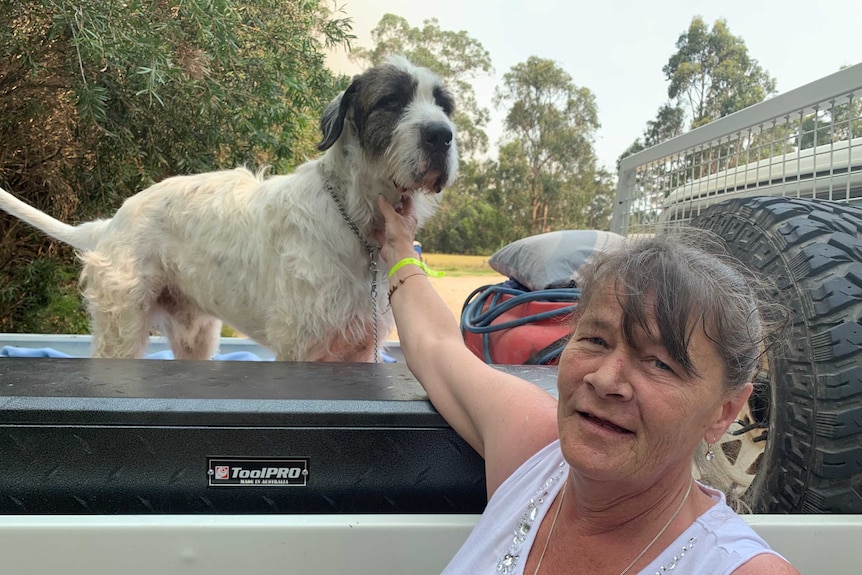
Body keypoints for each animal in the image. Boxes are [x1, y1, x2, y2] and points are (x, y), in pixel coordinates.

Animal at [0, 54, 460, 360]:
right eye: (391, 101)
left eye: (444, 104)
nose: (442, 135)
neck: (352, 219)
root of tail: (111, 223)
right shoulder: (301, 347)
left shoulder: (361, 348)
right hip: (121, 331)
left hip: (196, 337)